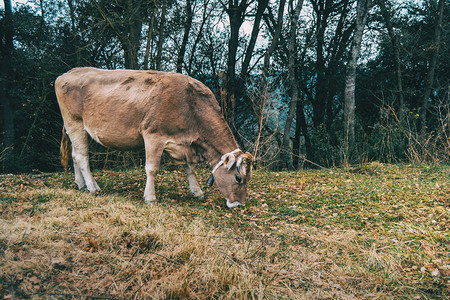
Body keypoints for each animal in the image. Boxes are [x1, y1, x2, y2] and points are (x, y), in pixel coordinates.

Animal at [55, 67, 253, 209]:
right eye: (238, 178)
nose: (239, 205)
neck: (191, 105)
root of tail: (69, 73)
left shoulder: (184, 144)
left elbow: (190, 168)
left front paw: (197, 192)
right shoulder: (153, 135)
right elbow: (152, 169)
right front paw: (150, 198)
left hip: (81, 130)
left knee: (75, 154)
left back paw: (80, 184)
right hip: (75, 123)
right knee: (82, 157)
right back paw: (93, 187)